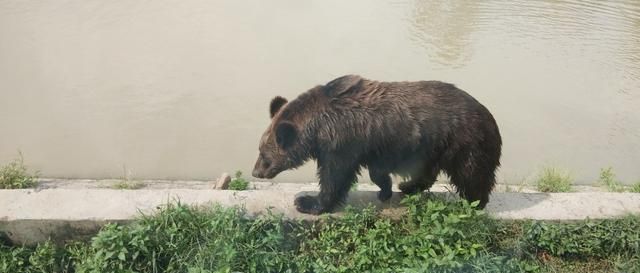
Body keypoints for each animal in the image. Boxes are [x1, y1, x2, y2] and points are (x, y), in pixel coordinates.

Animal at [252, 75, 502, 215]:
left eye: (264, 154)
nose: (256, 172)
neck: (319, 126)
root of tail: (489, 115)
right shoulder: (370, 146)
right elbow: (376, 171)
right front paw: (386, 189)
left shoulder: (342, 143)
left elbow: (335, 176)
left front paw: (307, 201)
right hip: (433, 146)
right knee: (428, 171)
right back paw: (408, 186)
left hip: (464, 140)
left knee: (472, 174)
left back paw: (473, 203)